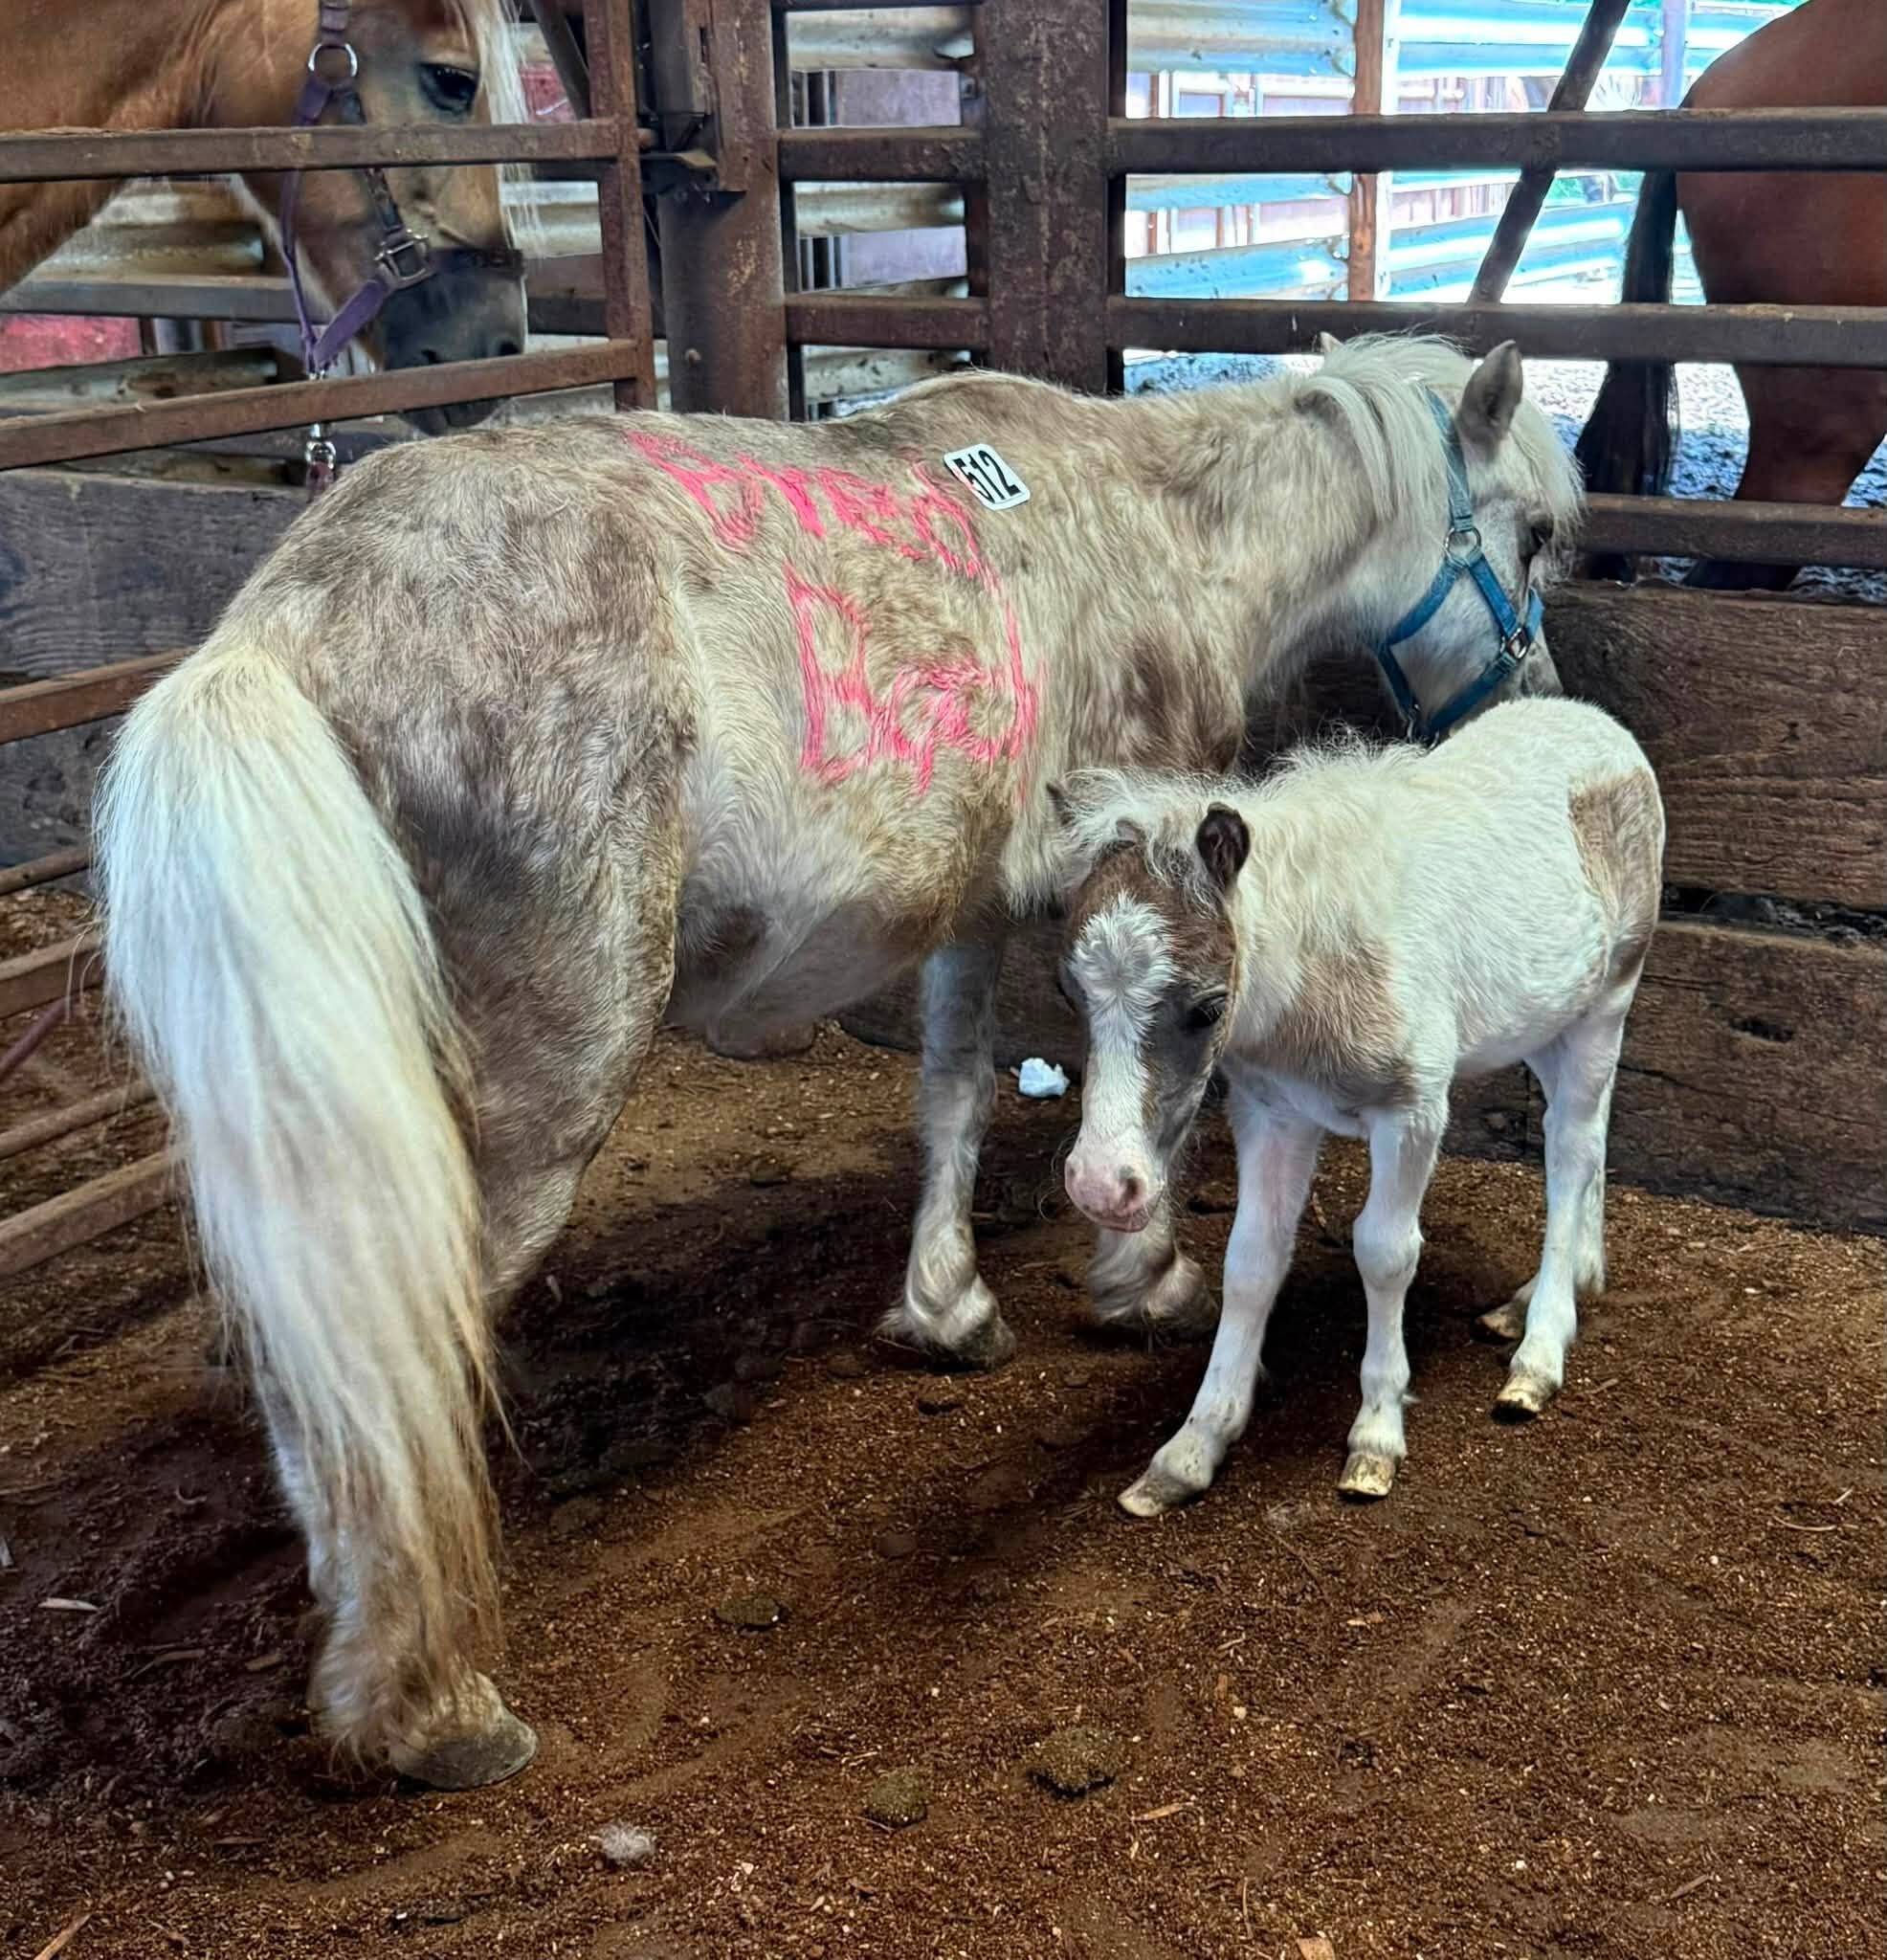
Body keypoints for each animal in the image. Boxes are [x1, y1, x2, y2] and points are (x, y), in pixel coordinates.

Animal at [95, 332, 1581, 1789]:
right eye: (1535, 530)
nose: (1536, 693)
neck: (1161, 524)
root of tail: (288, 623)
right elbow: (1143, 1094)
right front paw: (1139, 1273)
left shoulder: (973, 903)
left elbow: (955, 1092)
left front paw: (947, 1301)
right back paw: (432, 1705)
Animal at [1050, 698, 1663, 1518]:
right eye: (1069, 992)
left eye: (1207, 1008)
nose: (1100, 1186)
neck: (1320, 965)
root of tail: (1600, 725)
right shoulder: (1273, 1114)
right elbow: (1251, 1260)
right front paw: (1190, 1449)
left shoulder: (1413, 1113)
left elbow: (1384, 1251)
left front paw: (1376, 1434)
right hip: (1546, 1022)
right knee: (1590, 1142)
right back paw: (1556, 1289)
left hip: (1605, 1007)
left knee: (1570, 1154)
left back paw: (1538, 1351)